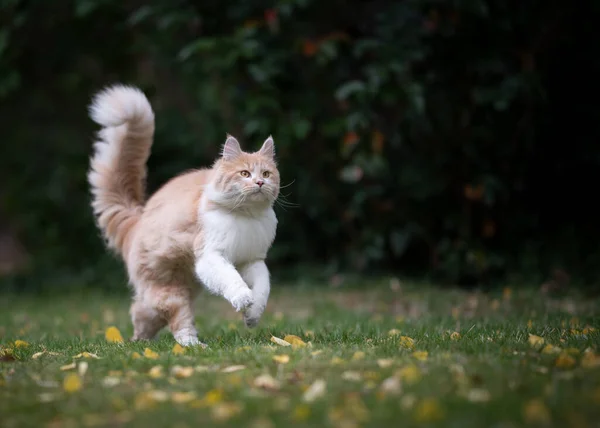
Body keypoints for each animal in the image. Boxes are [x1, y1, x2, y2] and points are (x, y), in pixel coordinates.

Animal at [88, 84, 280, 348]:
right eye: (244, 174)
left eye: (266, 174)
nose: (260, 183)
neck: (246, 217)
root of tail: (138, 219)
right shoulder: (211, 256)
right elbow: (231, 279)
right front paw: (242, 298)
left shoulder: (251, 260)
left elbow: (263, 286)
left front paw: (252, 315)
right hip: (170, 291)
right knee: (178, 323)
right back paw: (194, 347)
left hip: (174, 290)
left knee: (142, 312)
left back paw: (139, 342)